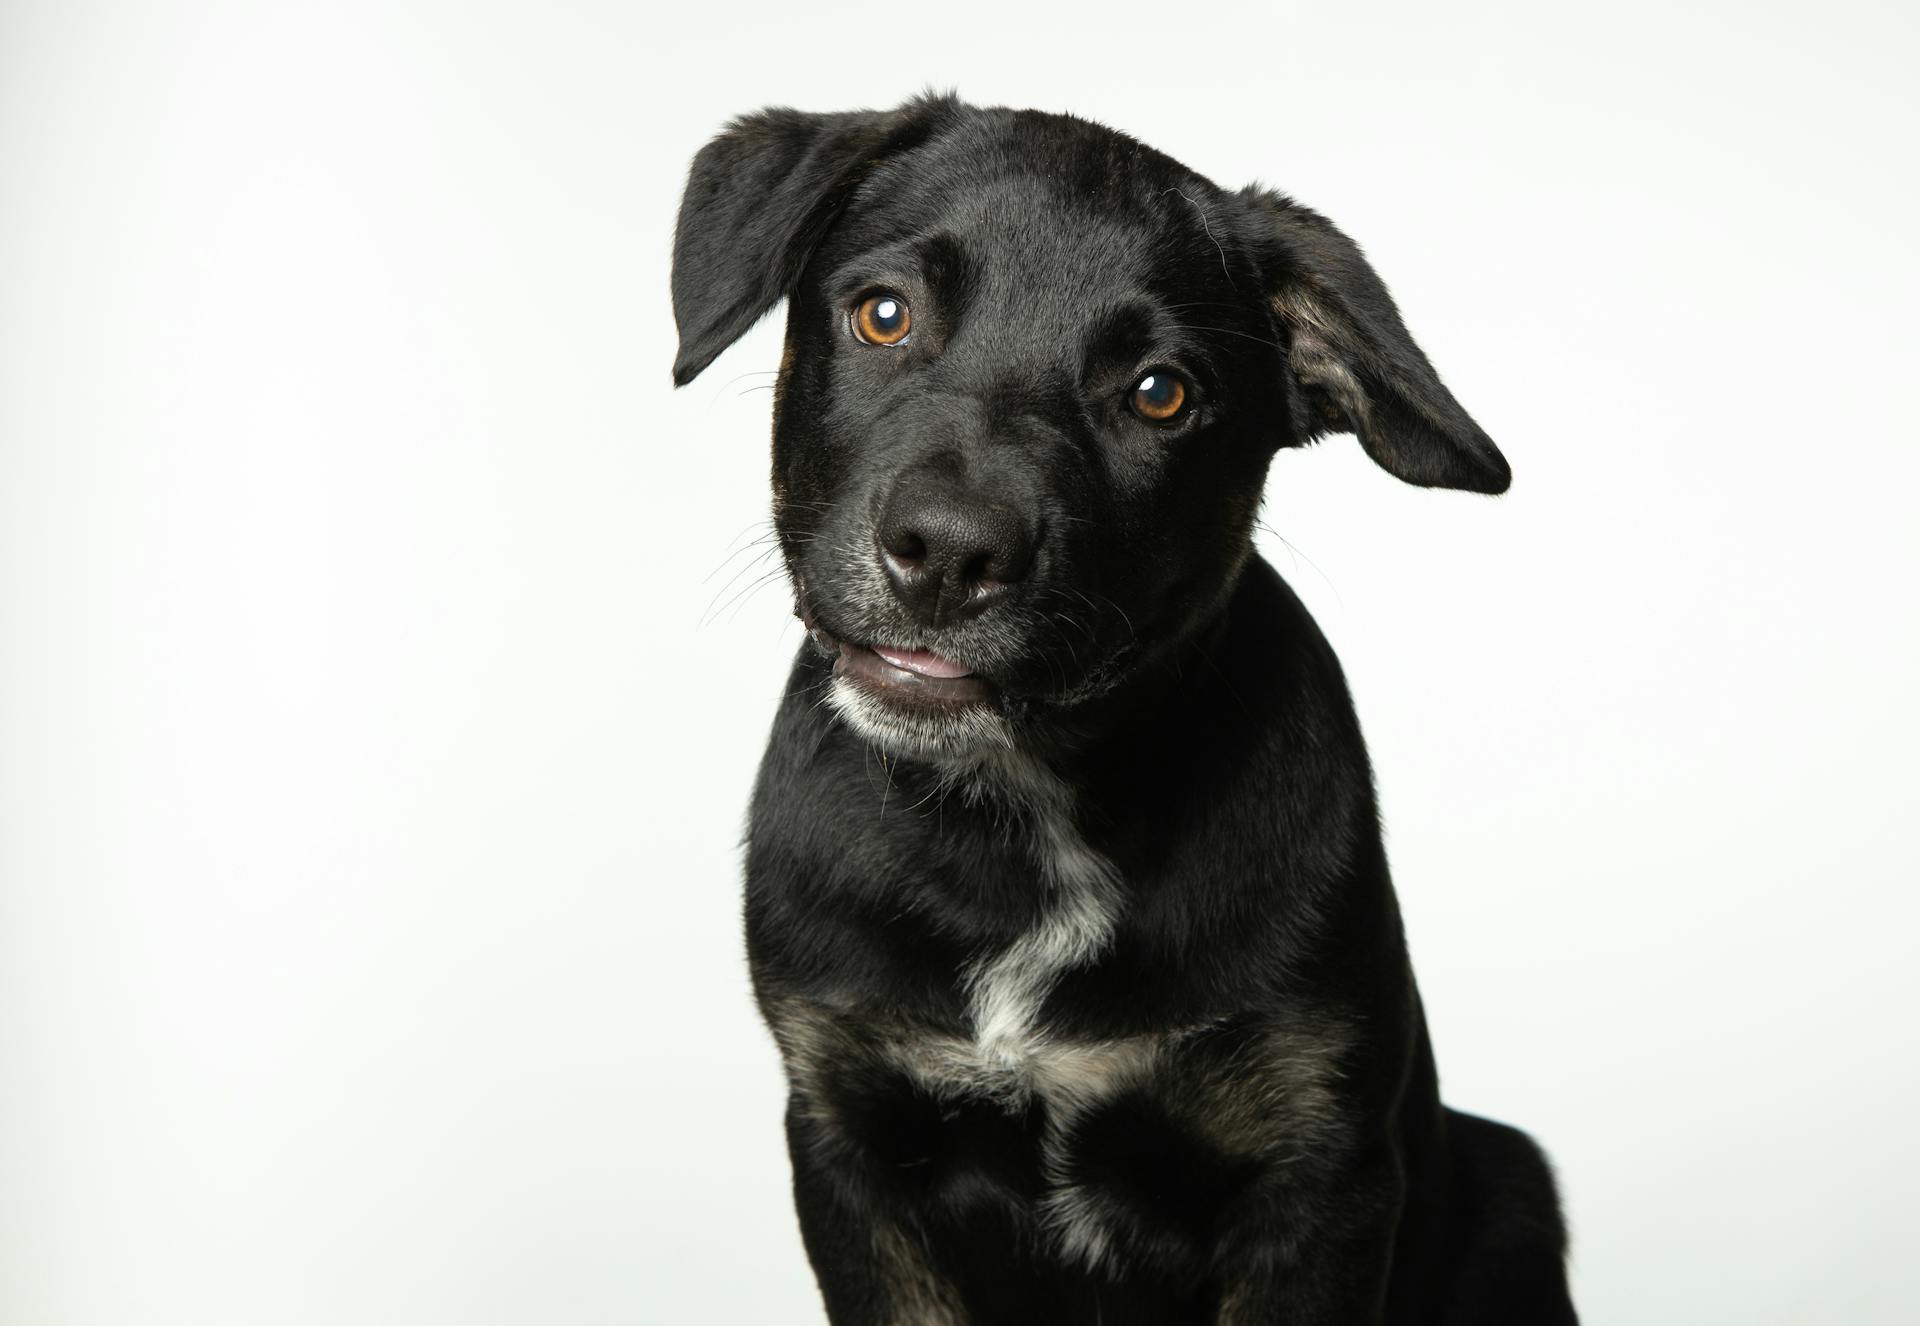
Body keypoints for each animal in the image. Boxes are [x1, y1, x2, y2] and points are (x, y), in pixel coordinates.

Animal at [675, 98, 1574, 1320]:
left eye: (1161, 393)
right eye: (883, 314)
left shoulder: (1317, 1173)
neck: (1026, 811)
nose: (947, 554)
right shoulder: (851, 1140)